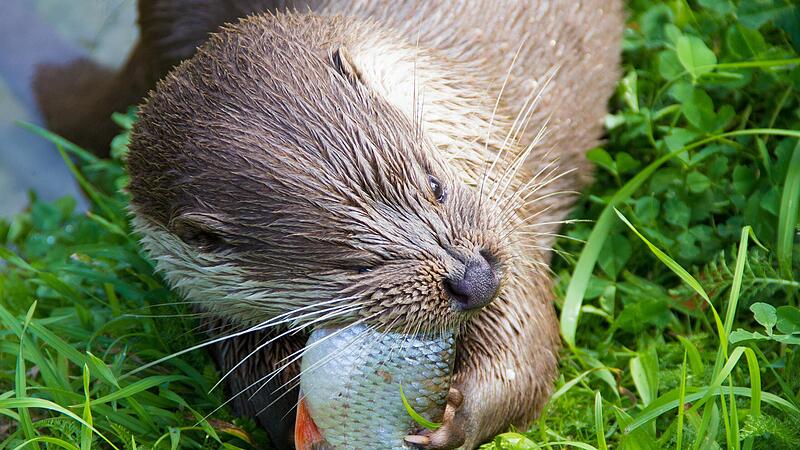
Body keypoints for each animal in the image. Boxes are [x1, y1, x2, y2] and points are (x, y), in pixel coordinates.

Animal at [35, 1, 622, 448]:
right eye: (353, 265)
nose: (475, 280)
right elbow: (257, 392)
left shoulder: (502, 202)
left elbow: (523, 352)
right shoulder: (223, 314)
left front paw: (458, 420)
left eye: (435, 184)